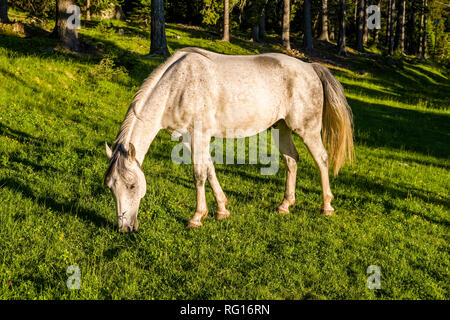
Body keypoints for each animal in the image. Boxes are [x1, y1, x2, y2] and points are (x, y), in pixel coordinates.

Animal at [103, 47, 354, 231]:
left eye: (132, 185)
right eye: (110, 187)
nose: (125, 227)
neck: (176, 87)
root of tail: (310, 67)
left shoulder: (199, 136)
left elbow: (199, 175)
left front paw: (197, 217)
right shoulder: (190, 139)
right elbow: (210, 170)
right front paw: (222, 209)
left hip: (307, 130)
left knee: (321, 159)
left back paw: (326, 206)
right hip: (281, 128)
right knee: (291, 160)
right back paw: (285, 205)